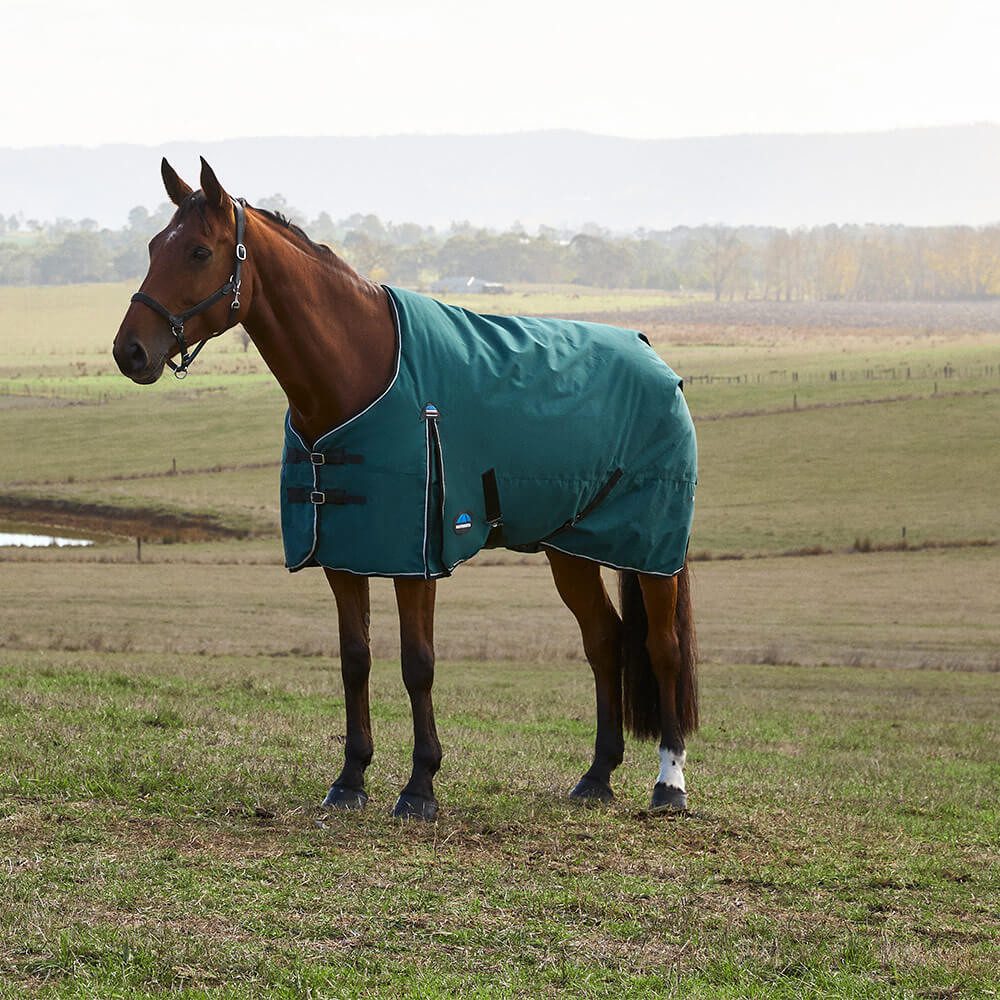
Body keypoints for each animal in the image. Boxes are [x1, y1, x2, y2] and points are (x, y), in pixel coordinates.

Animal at [112, 158, 698, 821]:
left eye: (198, 251)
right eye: (153, 246)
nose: (130, 351)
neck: (358, 372)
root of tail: (652, 356)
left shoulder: (417, 558)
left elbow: (418, 665)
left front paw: (419, 787)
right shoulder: (344, 553)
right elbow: (355, 659)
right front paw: (350, 780)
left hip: (652, 552)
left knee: (662, 647)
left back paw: (669, 784)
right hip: (569, 548)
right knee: (604, 640)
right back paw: (596, 776)